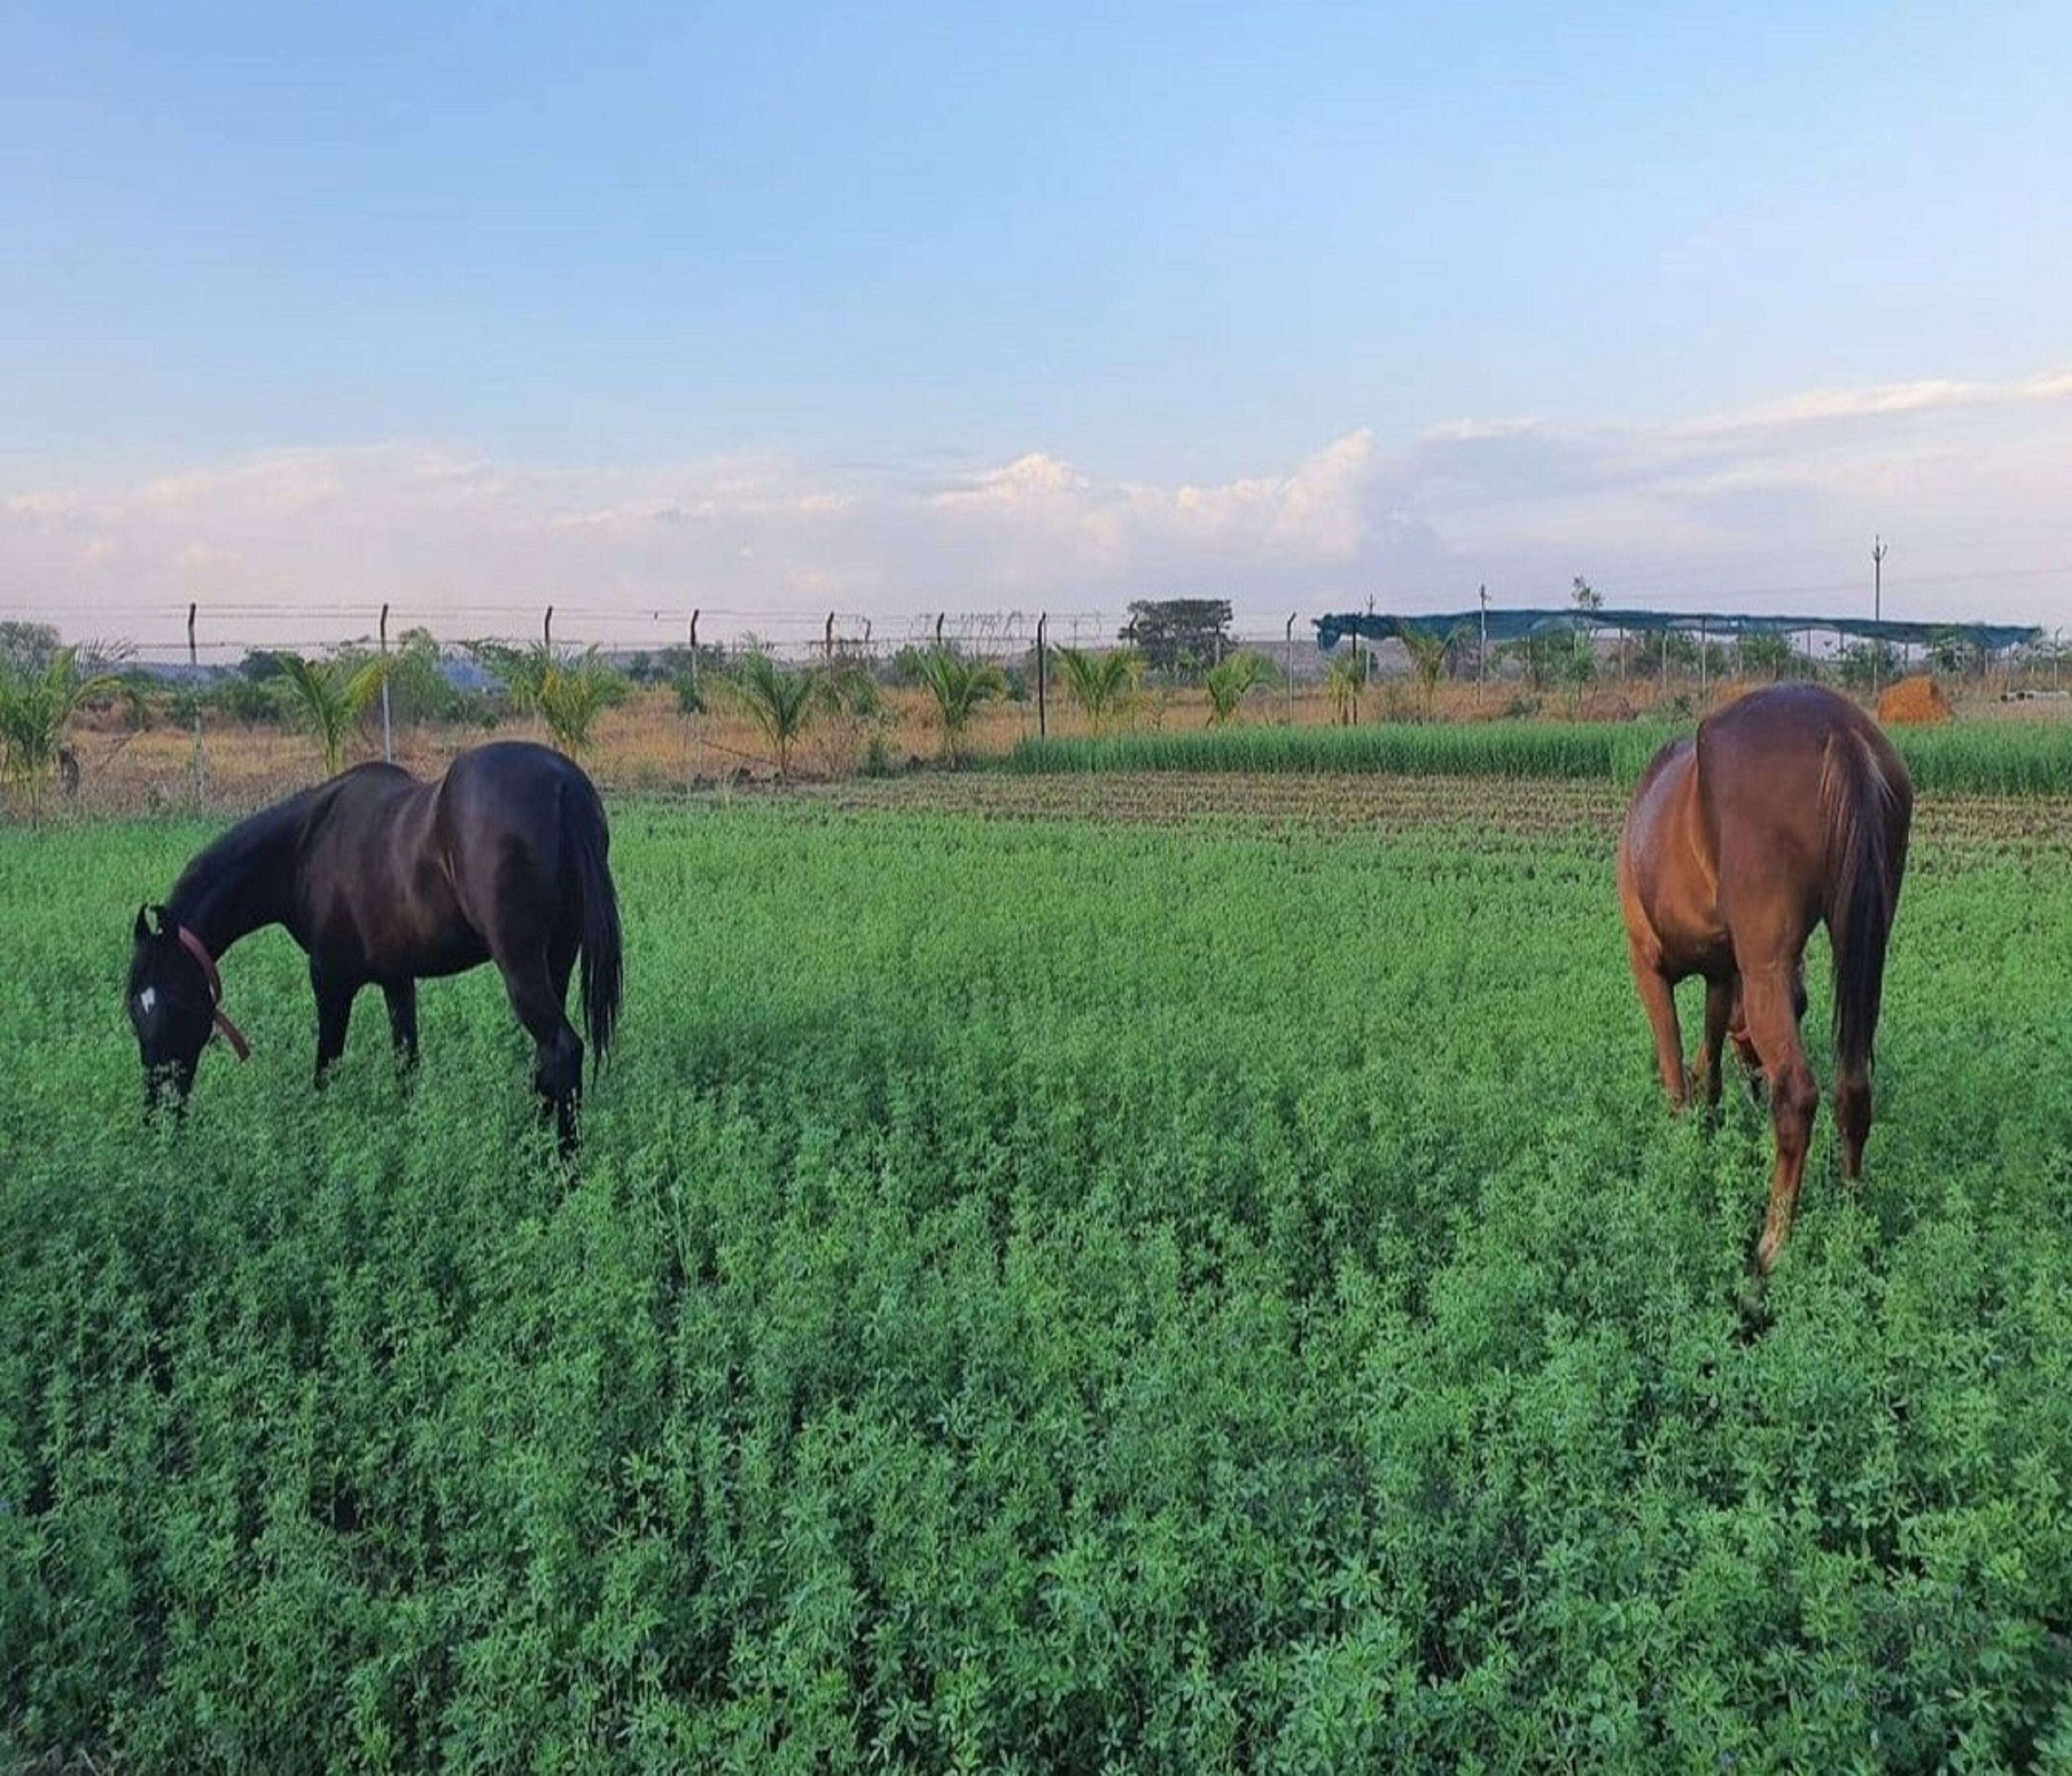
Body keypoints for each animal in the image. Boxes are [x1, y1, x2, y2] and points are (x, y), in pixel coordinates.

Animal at [126, 740, 623, 1153]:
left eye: (176, 1003)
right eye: (135, 1010)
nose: (157, 1115)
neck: (305, 847)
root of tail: (562, 784)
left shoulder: (329, 980)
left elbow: (327, 1067)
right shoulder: (397, 980)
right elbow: (407, 1065)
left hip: (520, 965)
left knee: (561, 1049)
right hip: (557, 958)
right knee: (548, 1063)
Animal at [1616, 683, 1912, 1273]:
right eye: (1804, 1004)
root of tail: (1839, 727)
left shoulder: (1651, 967)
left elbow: (1674, 1072)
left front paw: (1681, 1155)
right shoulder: (1722, 974)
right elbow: (1708, 1061)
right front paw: (1706, 1126)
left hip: (1765, 968)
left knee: (1798, 1095)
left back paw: (1770, 1247)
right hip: (1862, 950)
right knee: (1853, 1089)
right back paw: (1851, 1223)